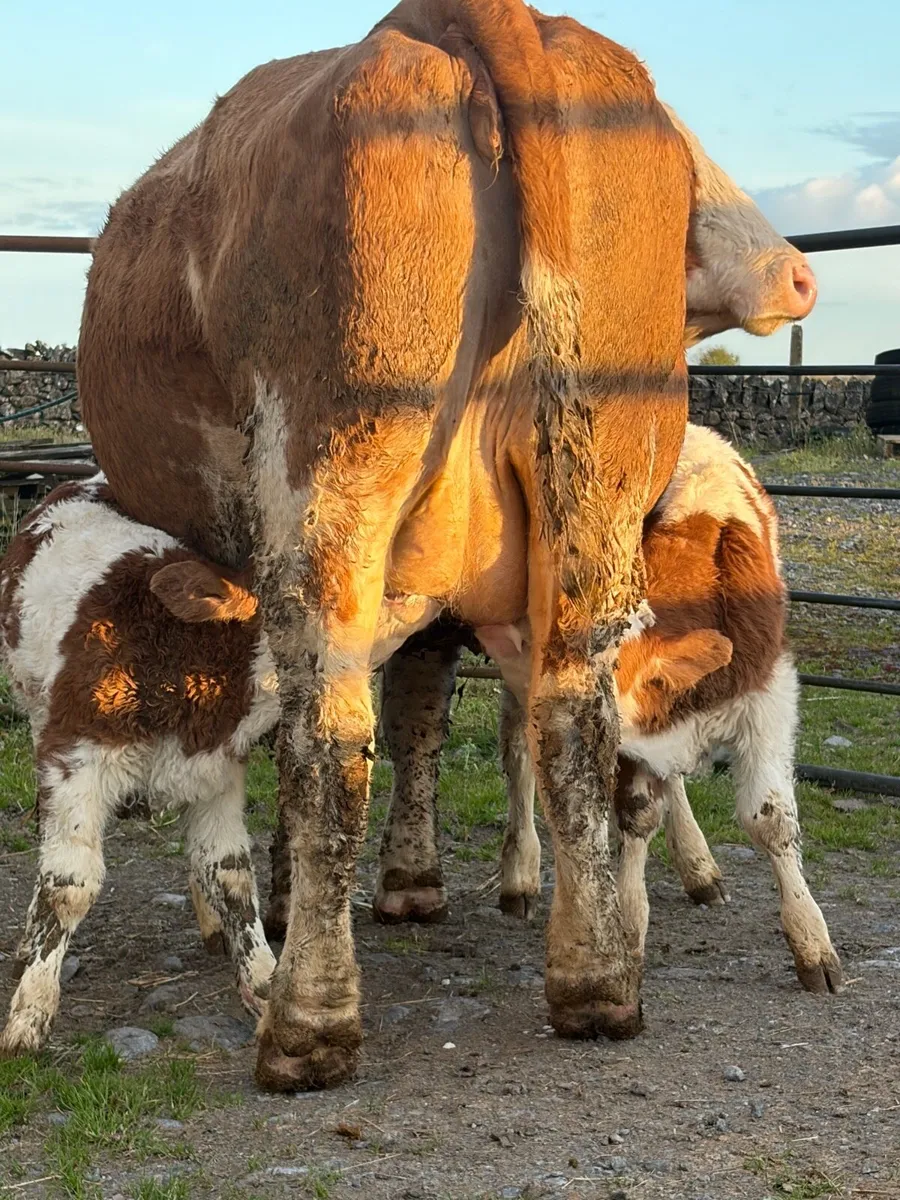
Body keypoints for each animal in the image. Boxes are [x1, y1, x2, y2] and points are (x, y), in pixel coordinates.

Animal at [0, 479, 279, 1056]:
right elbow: (69, 882)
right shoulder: (74, 756)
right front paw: (29, 1013)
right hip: (38, 718)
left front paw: (264, 984)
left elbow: (230, 871)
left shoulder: (220, 767)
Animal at [363, 425, 843, 995]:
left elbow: (769, 820)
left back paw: (698, 866)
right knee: (519, 758)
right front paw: (628, 928)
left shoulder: (768, 698)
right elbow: (637, 814)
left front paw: (813, 943)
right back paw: (521, 873)